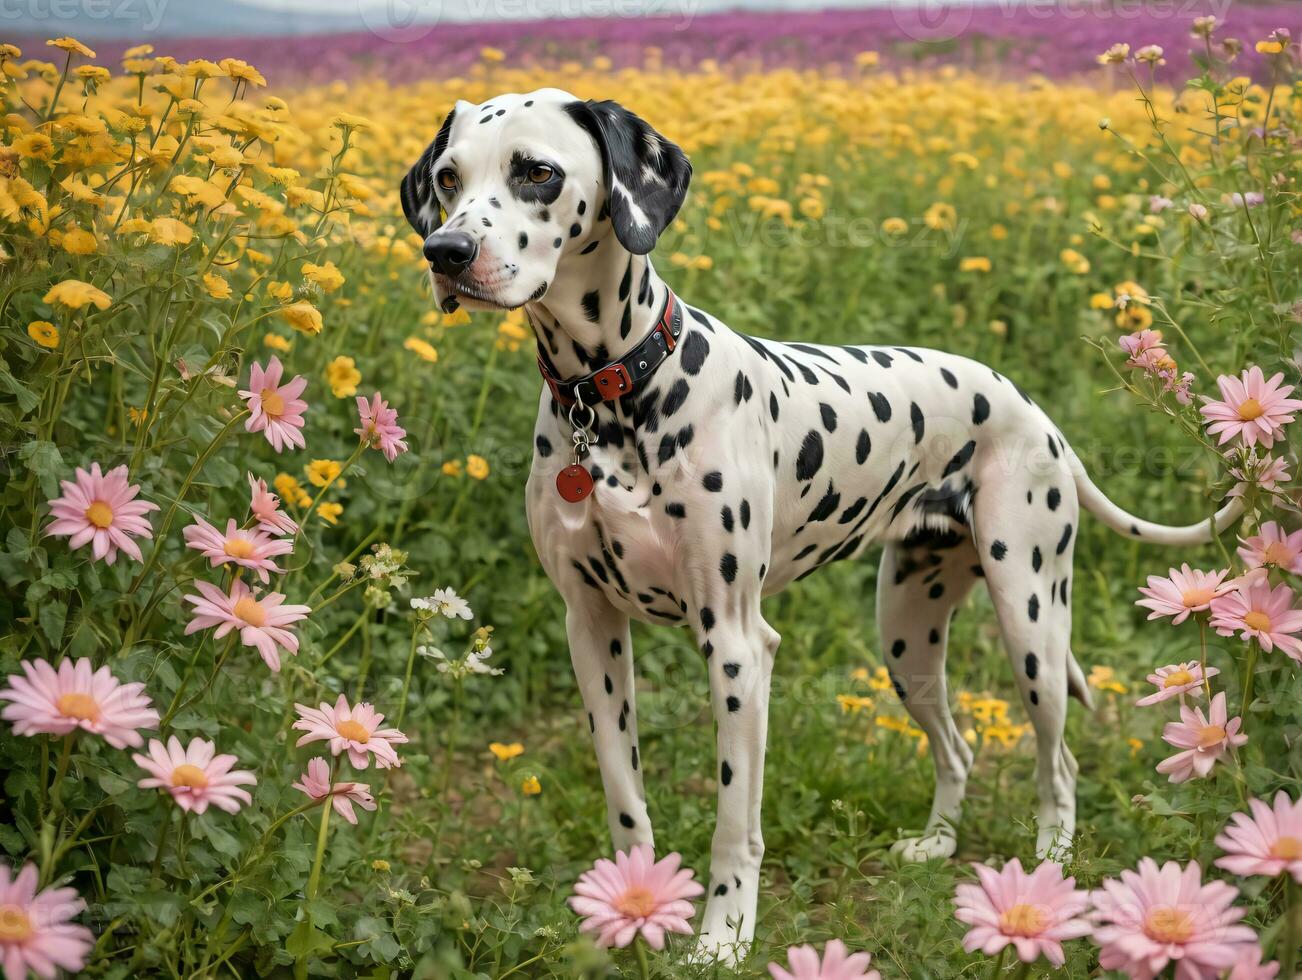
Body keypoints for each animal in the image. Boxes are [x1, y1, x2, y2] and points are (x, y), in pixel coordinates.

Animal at [398, 87, 1239, 957]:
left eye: (537, 171)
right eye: (450, 177)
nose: (446, 252)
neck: (612, 393)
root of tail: (1030, 408)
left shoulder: (737, 647)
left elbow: (735, 824)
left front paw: (724, 940)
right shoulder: (591, 631)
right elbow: (624, 797)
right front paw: (628, 914)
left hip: (1031, 621)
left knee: (1059, 764)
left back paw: (1050, 874)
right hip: (906, 639)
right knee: (958, 748)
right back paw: (937, 844)